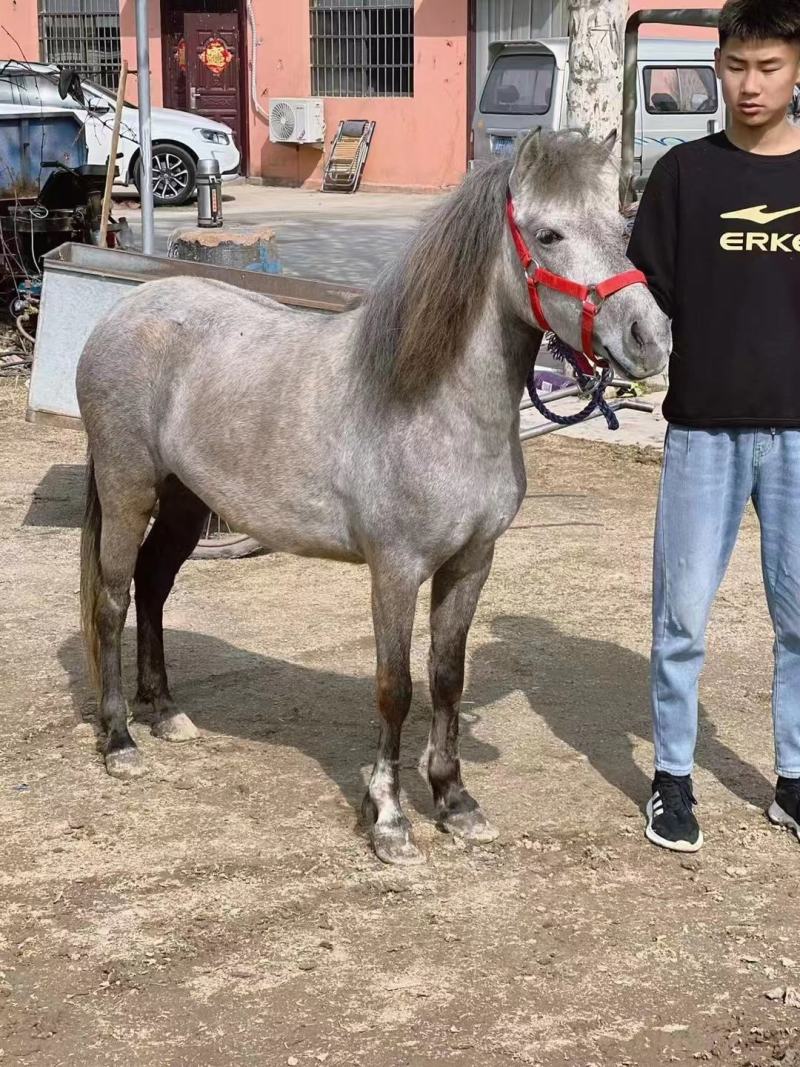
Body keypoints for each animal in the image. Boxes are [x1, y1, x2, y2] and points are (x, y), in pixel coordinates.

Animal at [76, 129, 670, 865]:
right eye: (549, 234)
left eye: (620, 227)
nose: (650, 339)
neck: (434, 404)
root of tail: (125, 313)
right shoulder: (396, 570)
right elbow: (396, 688)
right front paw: (389, 819)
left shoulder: (470, 565)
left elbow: (446, 677)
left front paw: (454, 800)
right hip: (127, 491)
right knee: (113, 601)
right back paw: (120, 739)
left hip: (186, 501)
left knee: (154, 585)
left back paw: (165, 712)